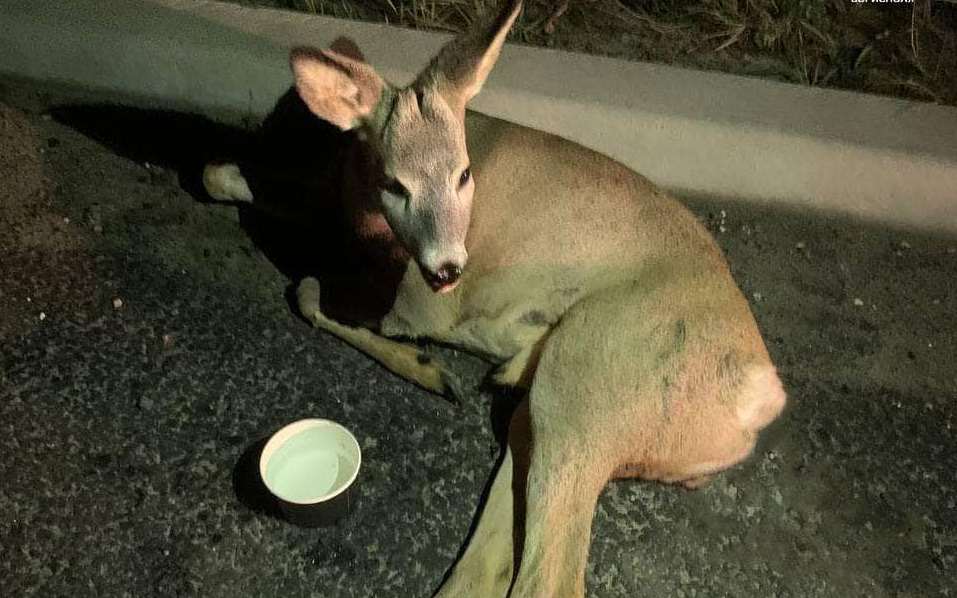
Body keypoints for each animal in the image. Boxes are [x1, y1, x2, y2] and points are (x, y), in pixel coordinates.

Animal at [204, 2, 784, 596]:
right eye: (396, 183)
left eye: (464, 173)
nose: (447, 269)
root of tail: (760, 394)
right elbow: (219, 175)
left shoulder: (414, 304)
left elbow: (309, 290)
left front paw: (427, 367)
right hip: (541, 414)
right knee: (488, 569)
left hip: (590, 388)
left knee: (545, 578)